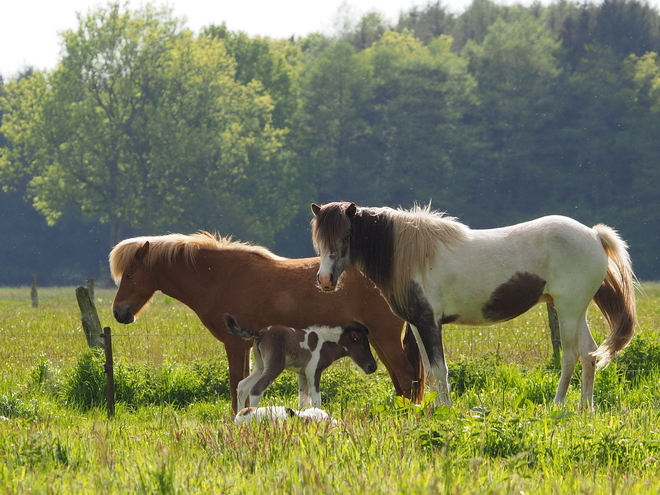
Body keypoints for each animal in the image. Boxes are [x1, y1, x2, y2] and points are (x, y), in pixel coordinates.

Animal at [224, 316, 376, 408]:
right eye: (363, 345)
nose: (373, 367)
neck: (327, 343)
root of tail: (260, 334)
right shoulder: (313, 372)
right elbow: (316, 400)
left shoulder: (301, 374)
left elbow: (303, 400)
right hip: (274, 366)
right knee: (255, 389)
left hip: (260, 366)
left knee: (242, 386)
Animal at [312, 202, 636, 410]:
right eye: (319, 239)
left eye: (346, 235)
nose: (325, 280)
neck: (412, 254)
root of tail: (593, 234)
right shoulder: (417, 325)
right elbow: (430, 373)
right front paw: (433, 411)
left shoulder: (430, 323)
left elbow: (440, 370)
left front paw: (446, 412)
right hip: (573, 311)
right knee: (589, 354)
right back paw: (585, 409)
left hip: (568, 311)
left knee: (570, 357)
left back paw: (557, 406)